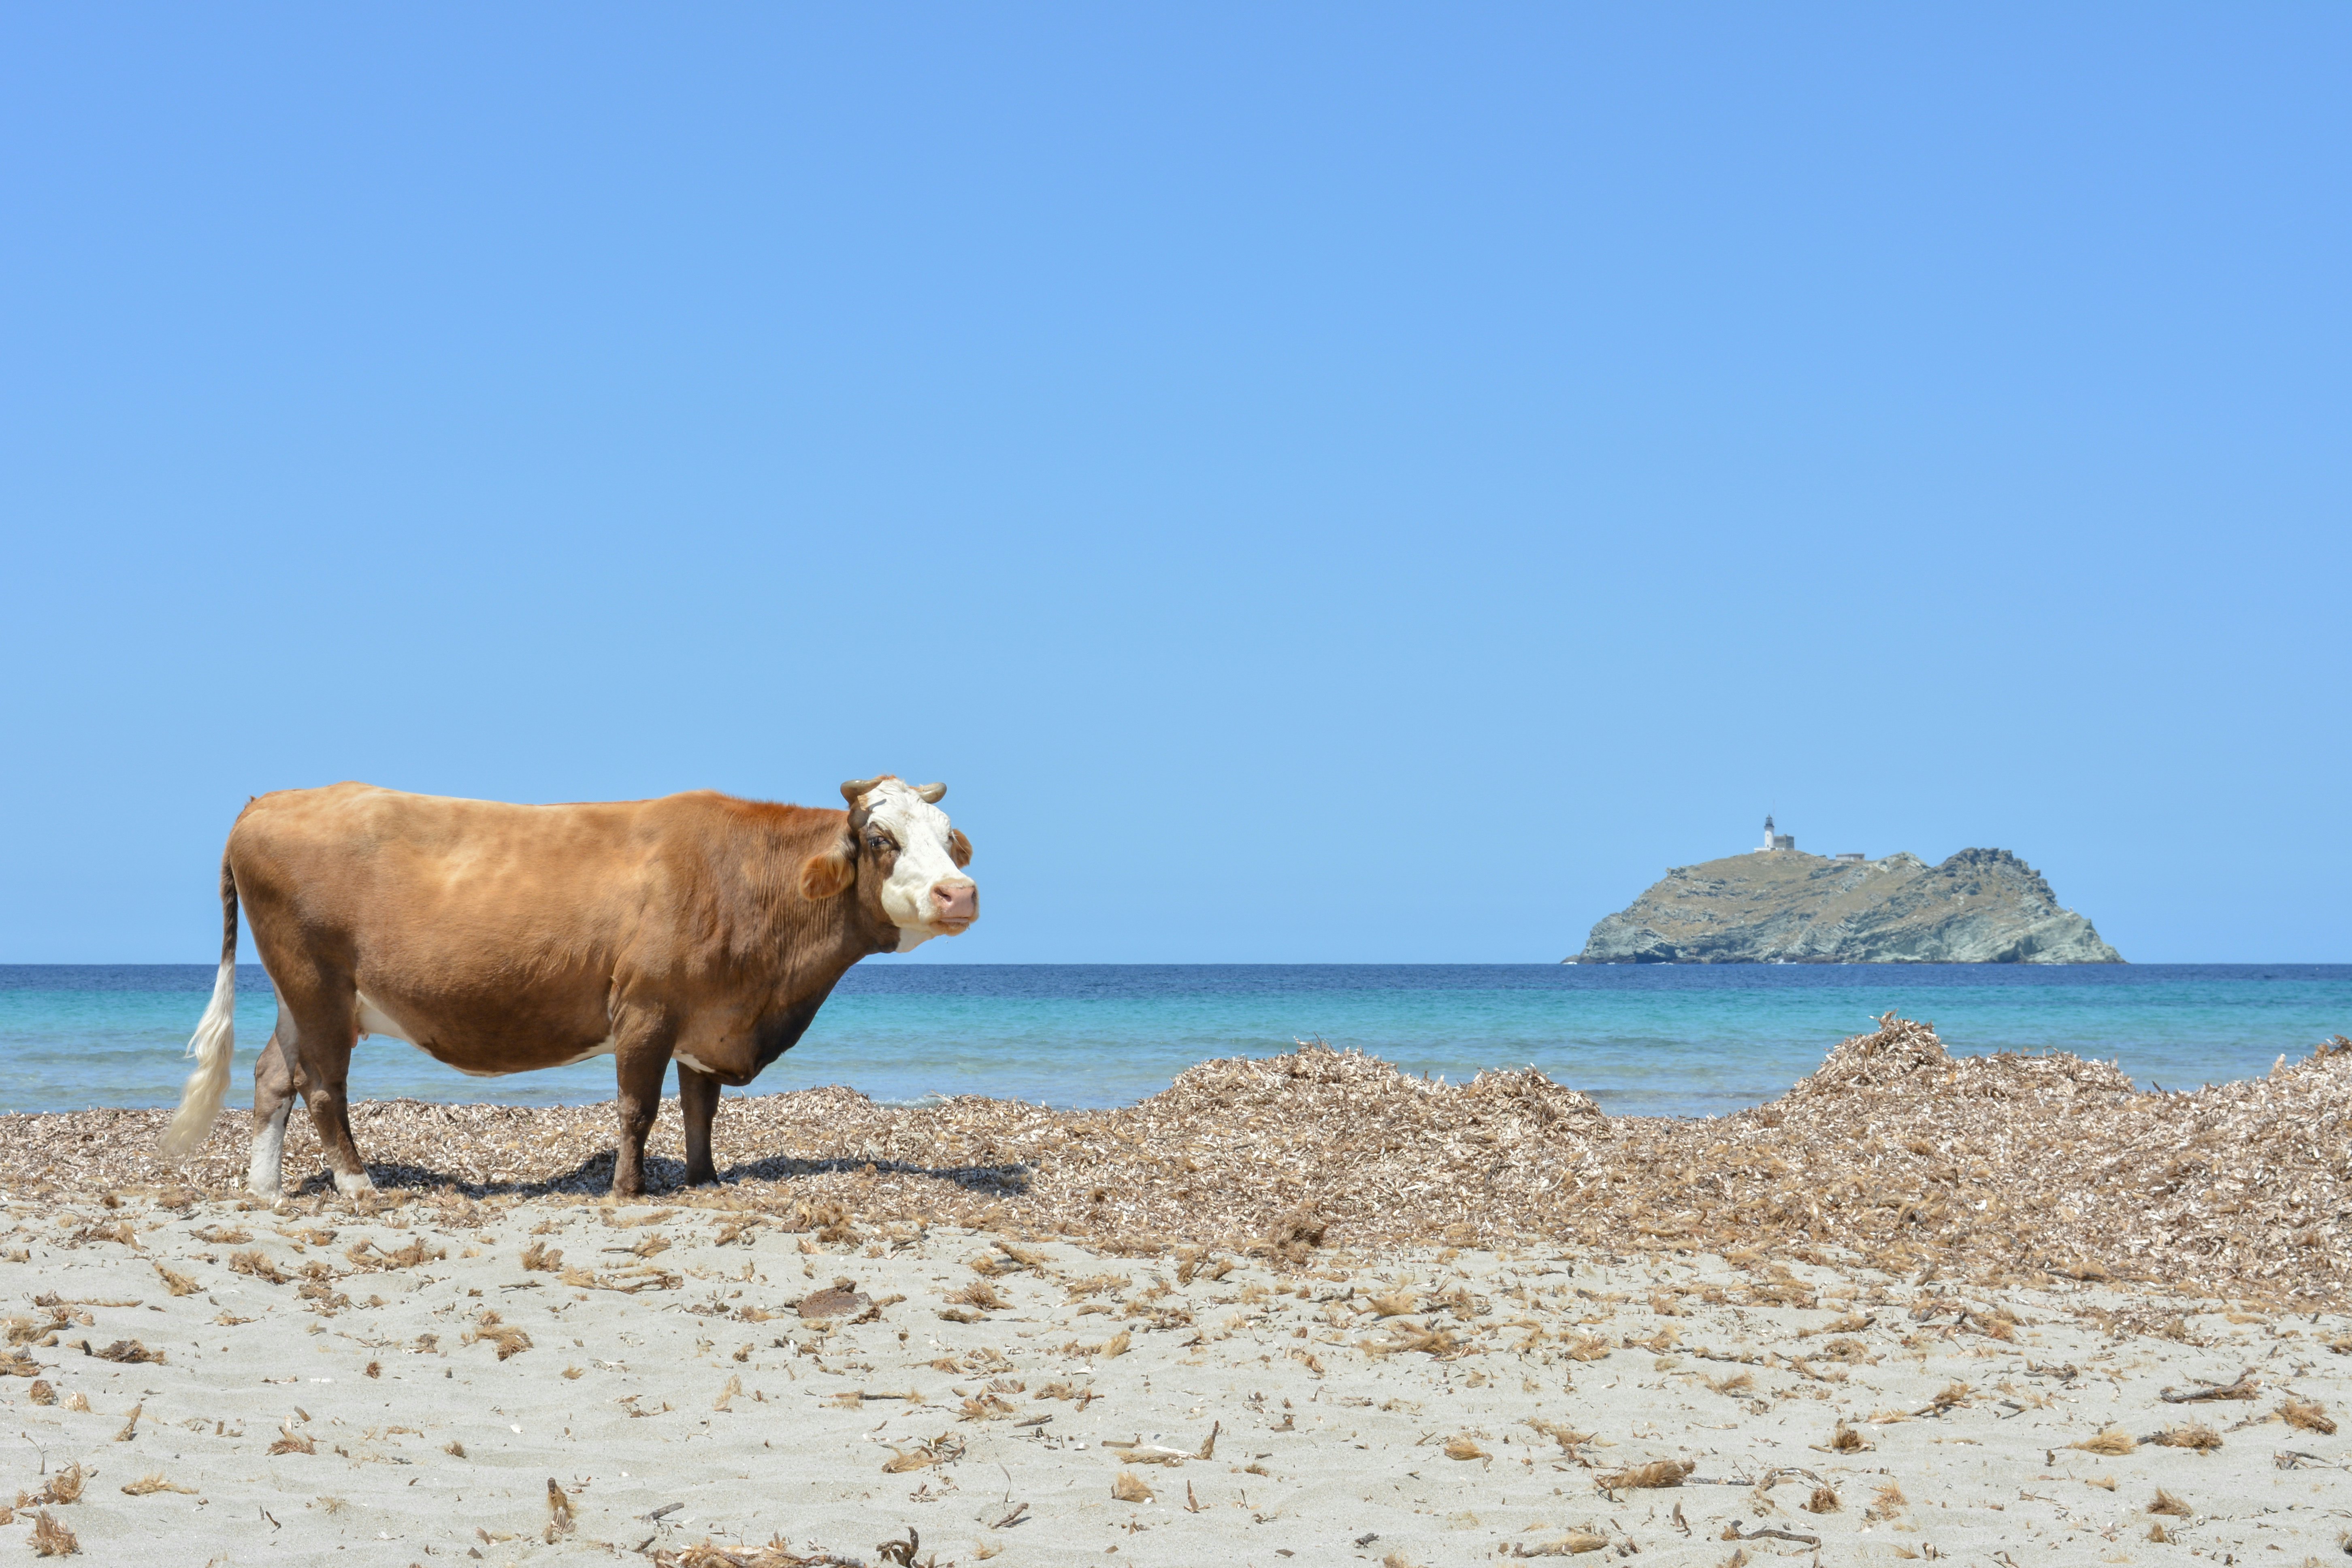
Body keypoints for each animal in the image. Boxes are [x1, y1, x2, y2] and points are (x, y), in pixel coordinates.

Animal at [156, 776, 978, 1198]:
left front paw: (705, 1179)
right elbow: (638, 1109)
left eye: (949, 837)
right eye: (881, 840)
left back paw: (264, 1189)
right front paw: (628, 1190)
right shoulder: (646, 1006)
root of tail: (270, 800)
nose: (959, 893)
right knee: (322, 1084)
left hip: (306, 994)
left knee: (273, 1075)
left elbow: (701, 1110)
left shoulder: (706, 1014)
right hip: (317, 981)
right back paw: (358, 1186)